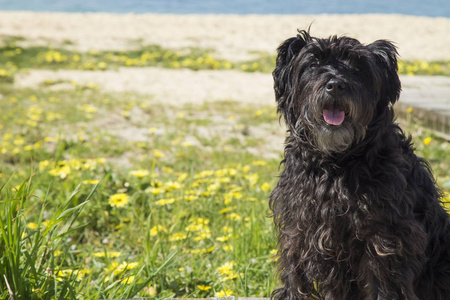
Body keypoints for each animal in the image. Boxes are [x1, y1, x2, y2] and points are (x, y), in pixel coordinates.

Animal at [268, 31, 450, 300]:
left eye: (358, 67)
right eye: (313, 64)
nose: (335, 85)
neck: (335, 163)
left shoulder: (385, 240)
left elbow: (384, 285)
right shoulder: (298, 230)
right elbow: (294, 277)